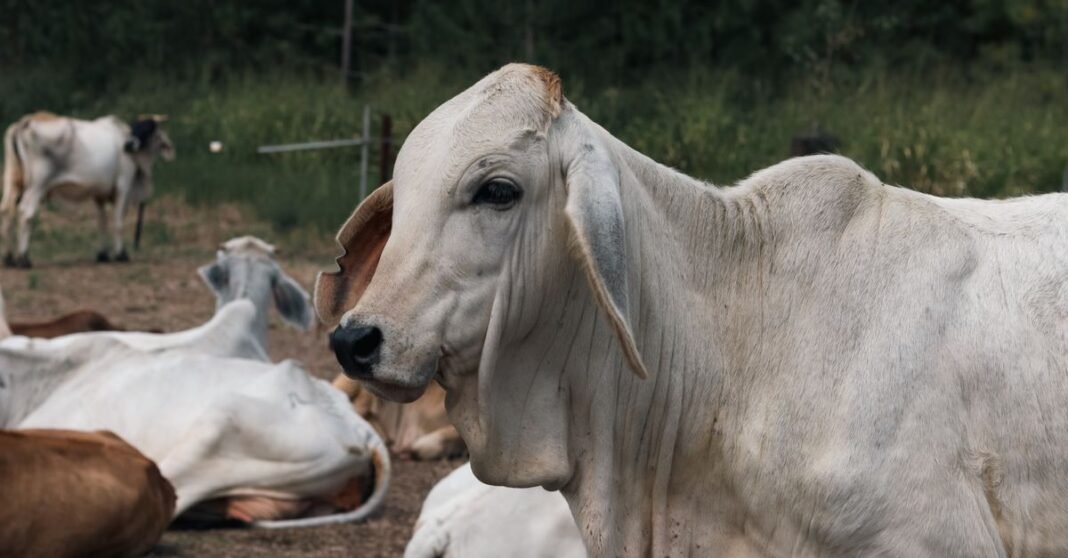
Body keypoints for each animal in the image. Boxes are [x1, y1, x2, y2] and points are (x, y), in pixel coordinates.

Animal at [1, 112, 175, 267]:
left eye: (148, 127)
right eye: (138, 127)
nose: (128, 145)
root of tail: (25, 121)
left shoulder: (99, 194)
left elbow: (102, 222)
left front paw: (103, 254)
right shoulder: (123, 187)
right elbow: (118, 222)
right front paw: (121, 254)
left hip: (13, 183)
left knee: (7, 211)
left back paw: (9, 259)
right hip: (37, 185)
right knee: (26, 213)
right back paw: (24, 258)